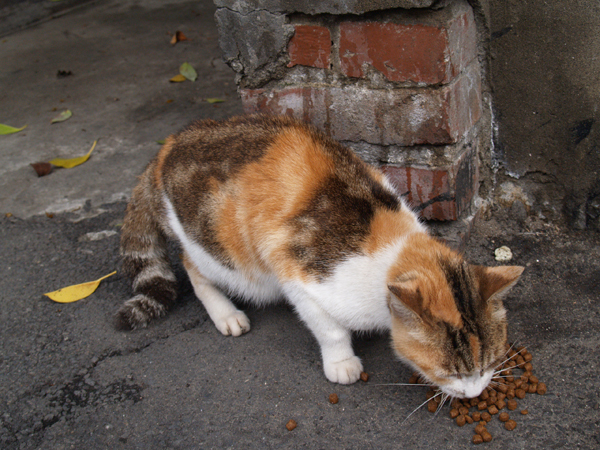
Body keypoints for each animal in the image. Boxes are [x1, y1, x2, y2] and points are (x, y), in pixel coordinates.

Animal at [116, 114, 520, 400]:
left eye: (490, 363)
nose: (476, 393)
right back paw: (226, 314)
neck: (393, 247)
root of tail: (170, 144)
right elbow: (330, 328)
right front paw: (342, 362)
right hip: (227, 258)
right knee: (191, 266)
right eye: (452, 372)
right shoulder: (299, 277)